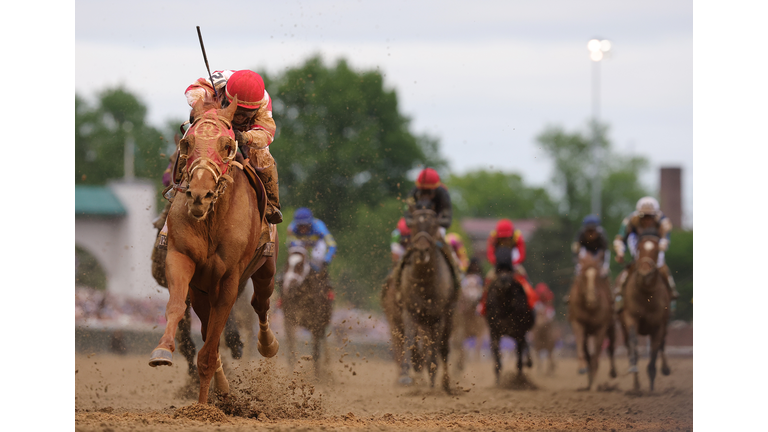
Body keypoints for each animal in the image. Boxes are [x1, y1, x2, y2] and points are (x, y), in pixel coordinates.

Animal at [147, 96, 280, 404]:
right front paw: (162, 351)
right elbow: (178, 310)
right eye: (187, 144)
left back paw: (267, 345)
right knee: (208, 327)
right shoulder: (182, 261)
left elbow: (214, 341)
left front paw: (202, 405)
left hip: (265, 268)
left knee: (260, 304)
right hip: (202, 289)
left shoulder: (229, 278)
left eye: (227, 145)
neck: (211, 219)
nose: (199, 195)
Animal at [280, 245, 332, 376]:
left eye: (300, 265)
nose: (288, 287)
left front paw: (316, 376)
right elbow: (291, 348)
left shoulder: (316, 324)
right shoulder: (289, 319)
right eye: (286, 264)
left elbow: (316, 352)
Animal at [390, 208, 456, 390]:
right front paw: (406, 374)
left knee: (444, 347)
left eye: (433, 225)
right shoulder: (409, 310)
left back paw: (444, 382)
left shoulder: (439, 315)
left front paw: (432, 374)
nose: (421, 250)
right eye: (412, 226)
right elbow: (409, 339)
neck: (425, 283)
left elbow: (436, 345)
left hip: (449, 317)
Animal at [568, 248, 616, 390]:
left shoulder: (601, 327)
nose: (592, 299)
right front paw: (582, 367)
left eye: (598, 277)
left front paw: (593, 383)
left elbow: (597, 353)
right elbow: (580, 344)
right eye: (583, 276)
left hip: (611, 326)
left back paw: (612, 372)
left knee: (611, 348)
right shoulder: (578, 323)